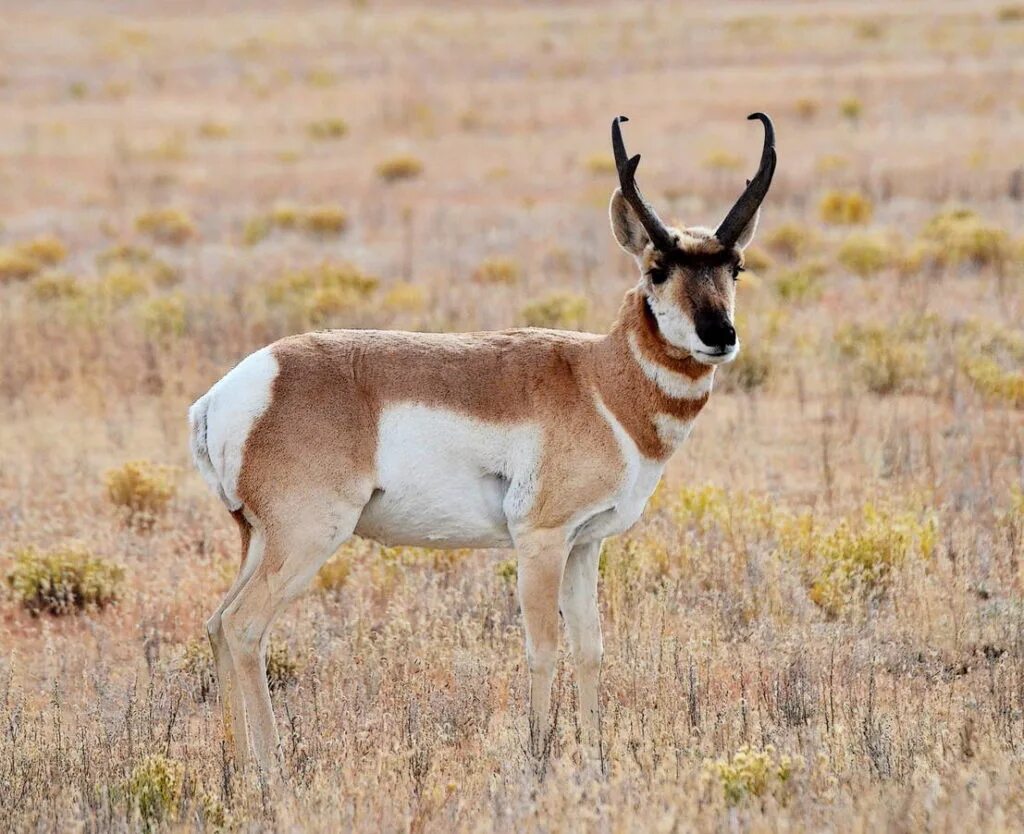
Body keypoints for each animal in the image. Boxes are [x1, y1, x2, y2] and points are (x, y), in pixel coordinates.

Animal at [190, 112, 774, 778]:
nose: (719, 334)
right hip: (306, 538)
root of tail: (233, 390)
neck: (598, 378)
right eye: (657, 269)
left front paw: (594, 762)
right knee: (244, 628)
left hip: (257, 540)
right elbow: (543, 646)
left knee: (217, 624)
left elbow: (591, 648)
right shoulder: (541, 540)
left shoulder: (585, 544)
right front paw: (539, 757)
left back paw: (236, 768)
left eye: (735, 267)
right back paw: (273, 772)